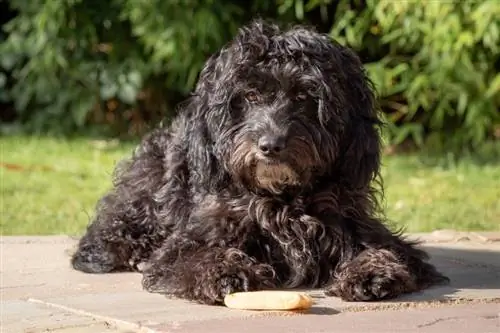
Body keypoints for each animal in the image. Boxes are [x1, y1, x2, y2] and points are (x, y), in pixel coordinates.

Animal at [71, 19, 450, 302]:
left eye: (304, 96)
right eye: (250, 96)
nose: (270, 145)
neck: (282, 199)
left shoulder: (355, 223)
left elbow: (388, 251)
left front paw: (373, 271)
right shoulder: (191, 240)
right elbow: (194, 257)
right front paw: (225, 271)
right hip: (146, 193)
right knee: (104, 237)